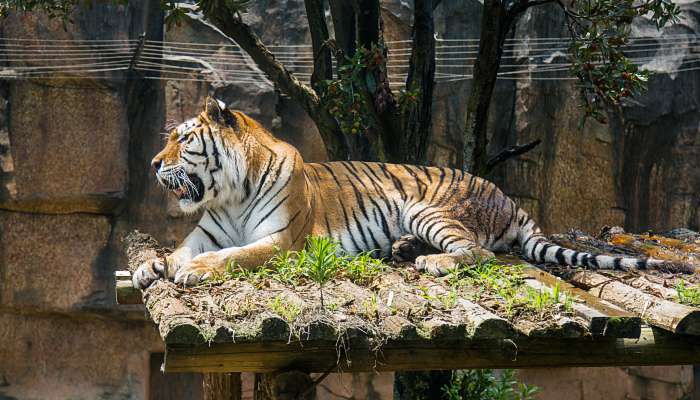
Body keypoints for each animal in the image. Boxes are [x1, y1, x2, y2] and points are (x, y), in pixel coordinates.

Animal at [132, 97, 694, 289]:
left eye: (182, 139)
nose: (153, 163)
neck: (229, 192)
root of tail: (510, 200)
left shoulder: (284, 242)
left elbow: (236, 256)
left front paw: (193, 271)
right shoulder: (205, 232)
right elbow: (180, 248)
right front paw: (150, 266)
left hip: (429, 207)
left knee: (480, 254)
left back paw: (430, 261)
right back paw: (404, 249)